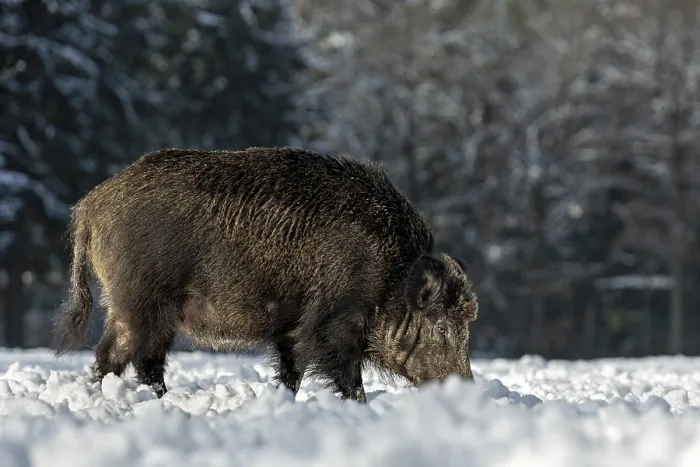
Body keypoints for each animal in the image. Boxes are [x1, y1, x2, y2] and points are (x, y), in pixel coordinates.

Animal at [52, 147, 479, 402]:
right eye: (443, 328)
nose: (469, 388)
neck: (390, 279)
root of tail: (90, 205)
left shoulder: (292, 327)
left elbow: (292, 369)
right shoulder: (335, 319)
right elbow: (342, 372)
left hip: (151, 311)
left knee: (138, 358)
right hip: (138, 299)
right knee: (120, 354)